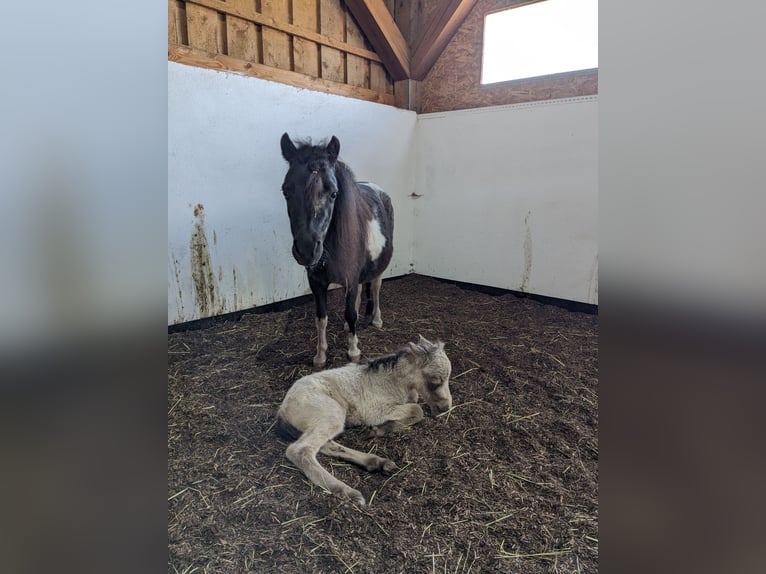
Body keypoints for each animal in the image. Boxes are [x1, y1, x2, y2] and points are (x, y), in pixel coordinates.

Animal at [276, 335, 452, 505]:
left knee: (325, 445)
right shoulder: (375, 411)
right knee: (300, 449)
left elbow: (415, 406)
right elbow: (418, 410)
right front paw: (379, 429)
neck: (394, 382)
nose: (446, 407)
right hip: (332, 413)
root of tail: (283, 409)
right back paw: (348, 492)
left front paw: (378, 430)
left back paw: (378, 462)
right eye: (436, 379)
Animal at [279, 133, 394, 369]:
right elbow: (321, 318)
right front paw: (320, 355)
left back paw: (376, 319)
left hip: (378, 269)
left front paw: (353, 351)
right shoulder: (317, 283)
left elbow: (350, 313)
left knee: (376, 288)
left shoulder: (351, 278)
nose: (306, 250)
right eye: (286, 190)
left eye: (333, 194)